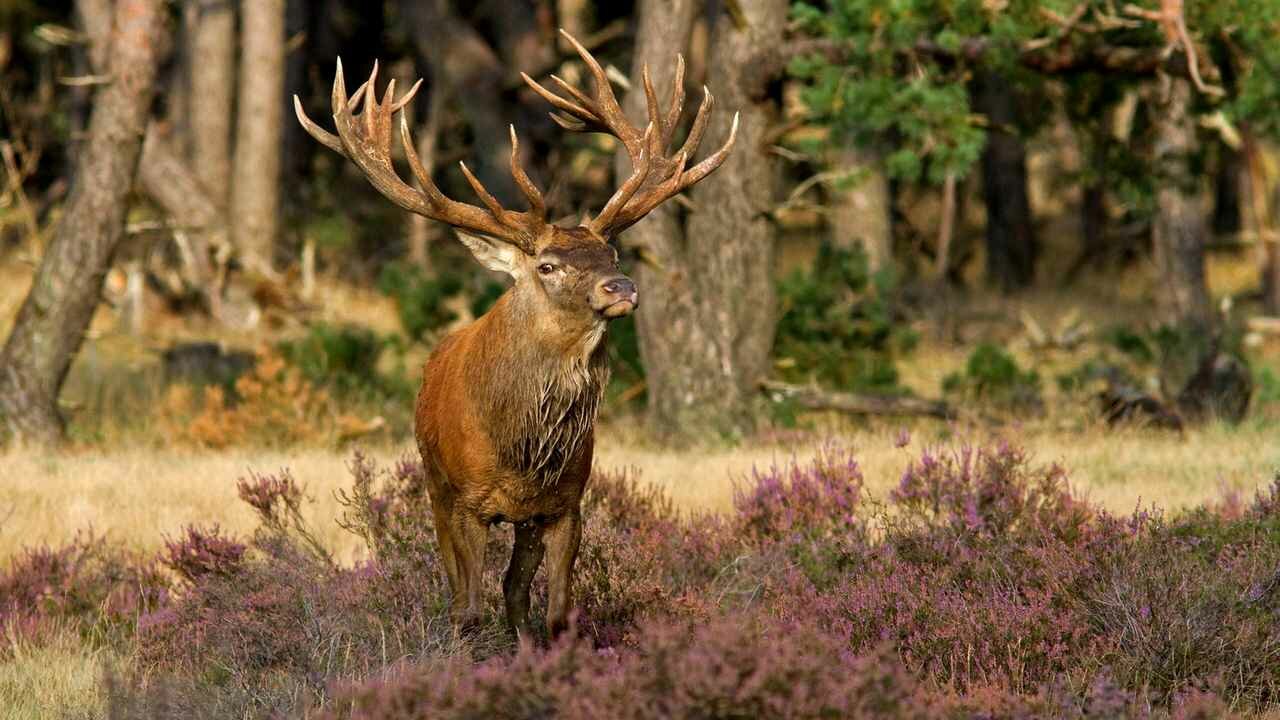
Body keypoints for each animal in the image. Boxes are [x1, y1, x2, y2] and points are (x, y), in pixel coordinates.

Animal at [294, 29, 737, 638]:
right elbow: (468, 608)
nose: (621, 287)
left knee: (514, 594)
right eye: (547, 265)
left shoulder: (565, 502)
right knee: (461, 593)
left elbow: (553, 611)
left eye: (612, 254)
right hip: (434, 485)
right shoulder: (464, 501)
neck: (522, 451)